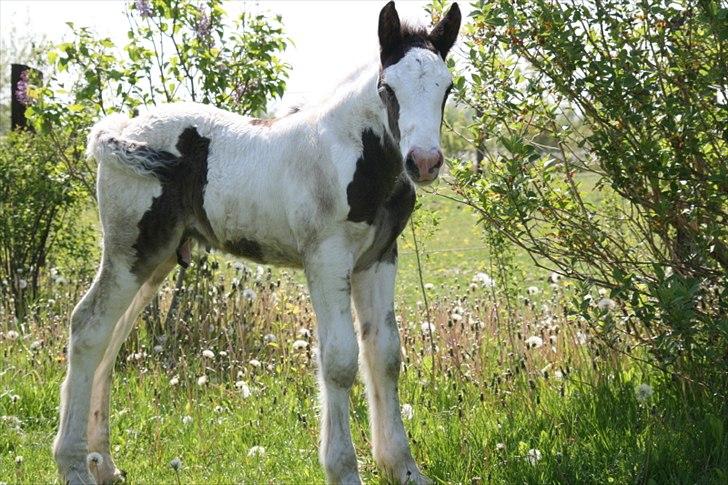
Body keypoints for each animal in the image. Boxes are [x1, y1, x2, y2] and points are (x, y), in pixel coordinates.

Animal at [52, 1, 460, 482]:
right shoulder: (326, 258)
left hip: (158, 258)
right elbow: (340, 360)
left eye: (447, 88)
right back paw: (73, 465)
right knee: (89, 327)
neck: (353, 154)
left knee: (113, 338)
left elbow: (385, 354)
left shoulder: (378, 258)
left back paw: (103, 463)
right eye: (387, 89)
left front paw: (402, 467)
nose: (424, 162)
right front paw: (343, 468)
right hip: (127, 251)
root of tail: (120, 128)